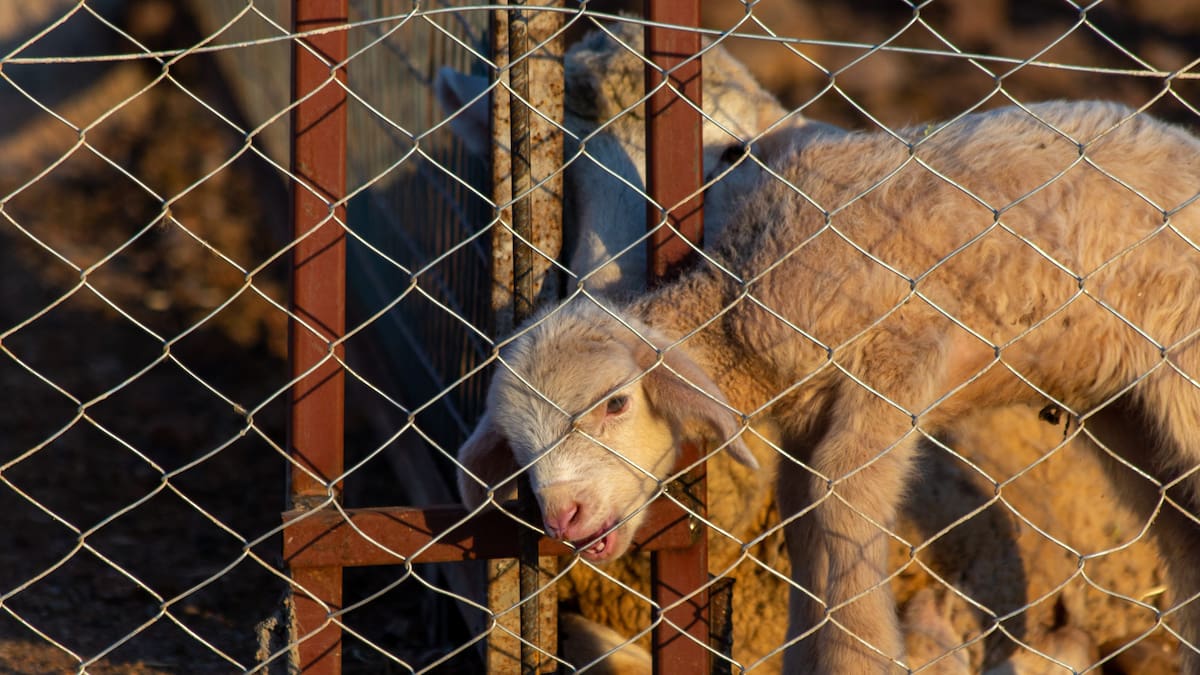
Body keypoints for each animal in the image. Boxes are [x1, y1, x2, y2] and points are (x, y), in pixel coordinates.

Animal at [456, 100, 1200, 673]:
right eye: (518, 447)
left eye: (615, 402)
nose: (564, 517)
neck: (740, 308)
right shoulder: (809, 414)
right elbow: (803, 514)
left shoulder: (900, 353)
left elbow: (839, 493)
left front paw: (858, 657)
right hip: (1126, 409)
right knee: (1183, 536)